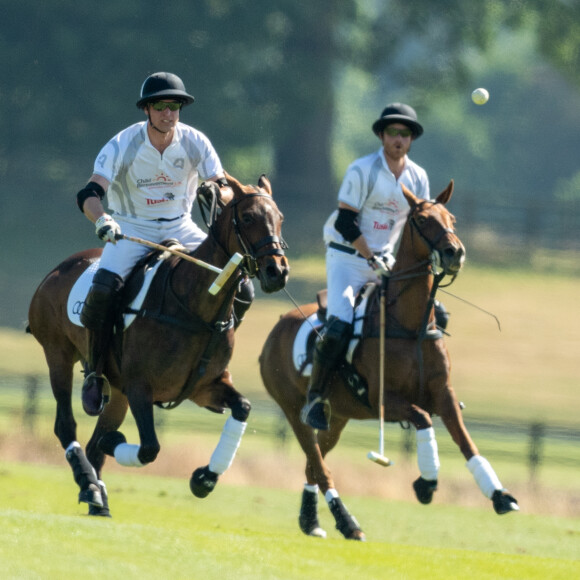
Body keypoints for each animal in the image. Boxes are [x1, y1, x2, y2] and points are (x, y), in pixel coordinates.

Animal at [27, 172, 290, 516]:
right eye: (247, 218)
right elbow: (149, 447)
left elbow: (243, 407)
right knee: (66, 425)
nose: (278, 271)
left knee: (94, 440)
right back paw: (88, 485)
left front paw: (204, 478)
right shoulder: (141, 386)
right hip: (57, 354)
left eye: (280, 219)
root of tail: (57, 270)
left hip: (118, 392)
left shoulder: (202, 388)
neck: (194, 307)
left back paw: (98, 498)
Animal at [260, 181, 520, 540]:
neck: (411, 326)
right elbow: (423, 419)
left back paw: (311, 520)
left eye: (451, 218)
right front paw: (427, 483)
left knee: (314, 463)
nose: (455, 253)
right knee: (318, 462)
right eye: (422, 220)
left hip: (337, 417)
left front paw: (499, 495)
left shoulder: (444, 395)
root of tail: (276, 328)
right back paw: (348, 523)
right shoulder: (383, 399)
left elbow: (466, 441)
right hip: (292, 407)